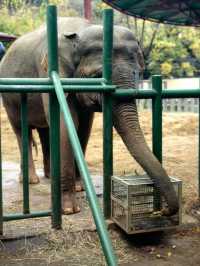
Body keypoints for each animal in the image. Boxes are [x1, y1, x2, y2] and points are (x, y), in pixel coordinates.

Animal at [0, 16, 178, 216]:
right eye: (97, 75)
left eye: (138, 72)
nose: (162, 211)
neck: (80, 31)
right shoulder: (48, 73)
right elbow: (66, 123)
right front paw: (69, 210)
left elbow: (84, 126)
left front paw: (79, 188)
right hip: (9, 99)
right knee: (21, 131)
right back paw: (31, 181)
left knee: (45, 131)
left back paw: (49, 176)